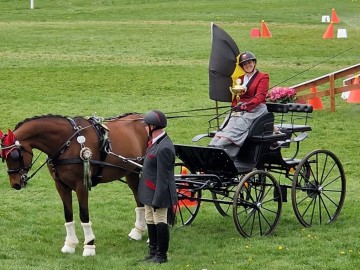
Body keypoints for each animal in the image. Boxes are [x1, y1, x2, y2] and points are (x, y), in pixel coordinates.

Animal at [0, 113, 149, 256]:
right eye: (3, 157)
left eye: (14, 155)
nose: (15, 184)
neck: (67, 144)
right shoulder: (61, 186)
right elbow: (68, 214)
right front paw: (70, 244)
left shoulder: (81, 186)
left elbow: (83, 214)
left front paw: (89, 245)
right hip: (131, 174)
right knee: (139, 201)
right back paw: (138, 232)